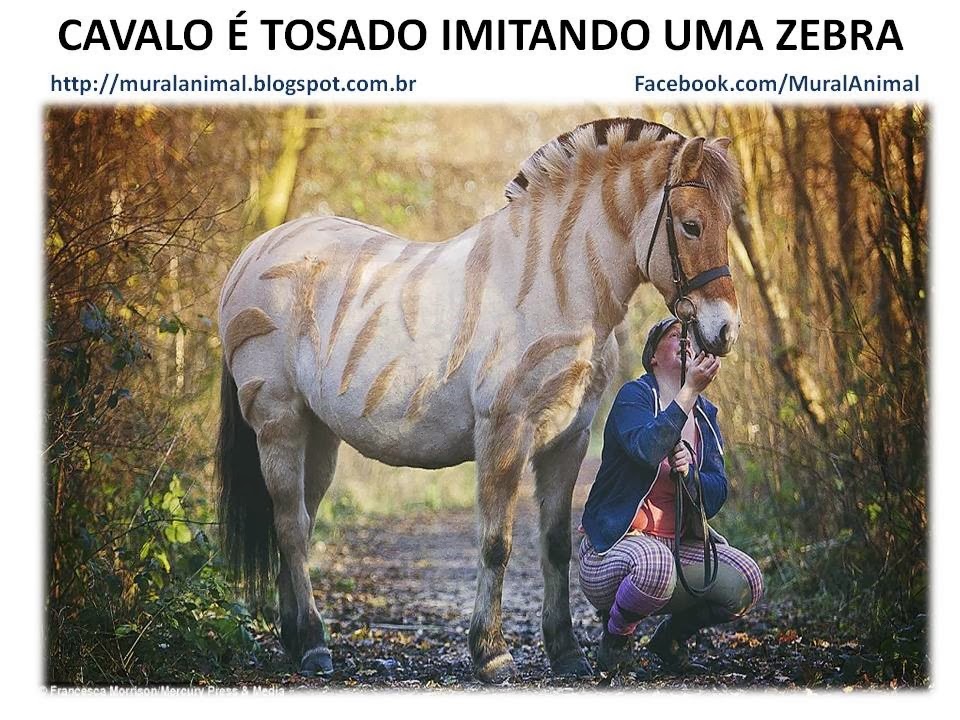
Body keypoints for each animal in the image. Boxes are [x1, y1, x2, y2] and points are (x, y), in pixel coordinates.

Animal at [216, 117, 742, 682]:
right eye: (691, 225)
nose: (725, 332)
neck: (553, 285)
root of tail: (251, 254)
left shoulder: (569, 440)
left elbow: (556, 545)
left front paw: (566, 651)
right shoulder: (503, 434)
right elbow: (496, 544)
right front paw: (491, 652)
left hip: (318, 434)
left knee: (297, 521)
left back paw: (295, 639)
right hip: (279, 421)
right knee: (291, 527)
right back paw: (314, 644)